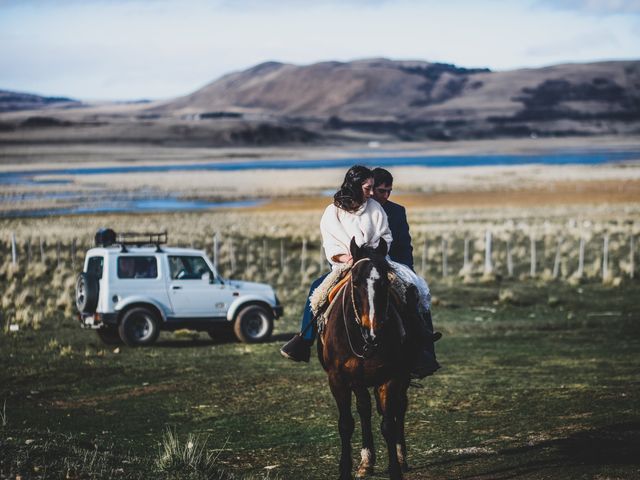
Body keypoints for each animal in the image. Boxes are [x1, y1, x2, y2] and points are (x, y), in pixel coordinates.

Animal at [318, 239, 420, 480]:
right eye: (355, 282)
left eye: (384, 281)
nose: (372, 329)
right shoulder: (338, 380)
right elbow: (346, 424)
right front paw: (345, 469)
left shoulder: (391, 377)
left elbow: (388, 425)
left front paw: (395, 470)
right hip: (359, 381)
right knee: (364, 409)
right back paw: (366, 461)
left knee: (399, 407)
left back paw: (401, 457)